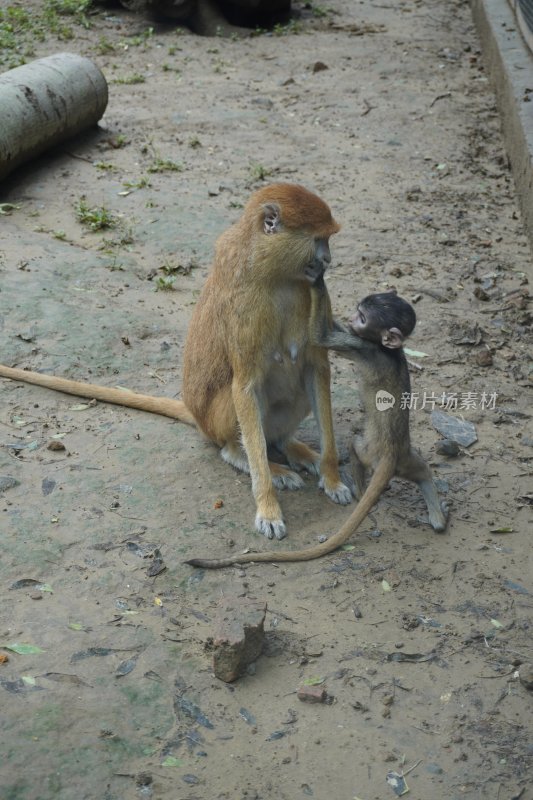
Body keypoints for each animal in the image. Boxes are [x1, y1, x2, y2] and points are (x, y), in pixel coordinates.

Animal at [0, 184, 352, 540]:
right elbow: (245, 387)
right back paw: (249, 456)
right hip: (215, 419)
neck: (272, 269)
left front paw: (332, 477)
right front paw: (268, 507)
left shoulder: (310, 293)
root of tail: (197, 416)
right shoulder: (245, 311)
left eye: (328, 239)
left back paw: (290, 446)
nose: (328, 260)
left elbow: (317, 370)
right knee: (237, 419)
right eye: (318, 240)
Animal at [185, 276, 446, 568]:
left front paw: (317, 282)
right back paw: (436, 515)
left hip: (370, 451)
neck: (390, 350)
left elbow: (321, 337)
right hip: (407, 458)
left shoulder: (363, 347)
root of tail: (391, 455)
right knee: (422, 470)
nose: (352, 318)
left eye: (363, 317)